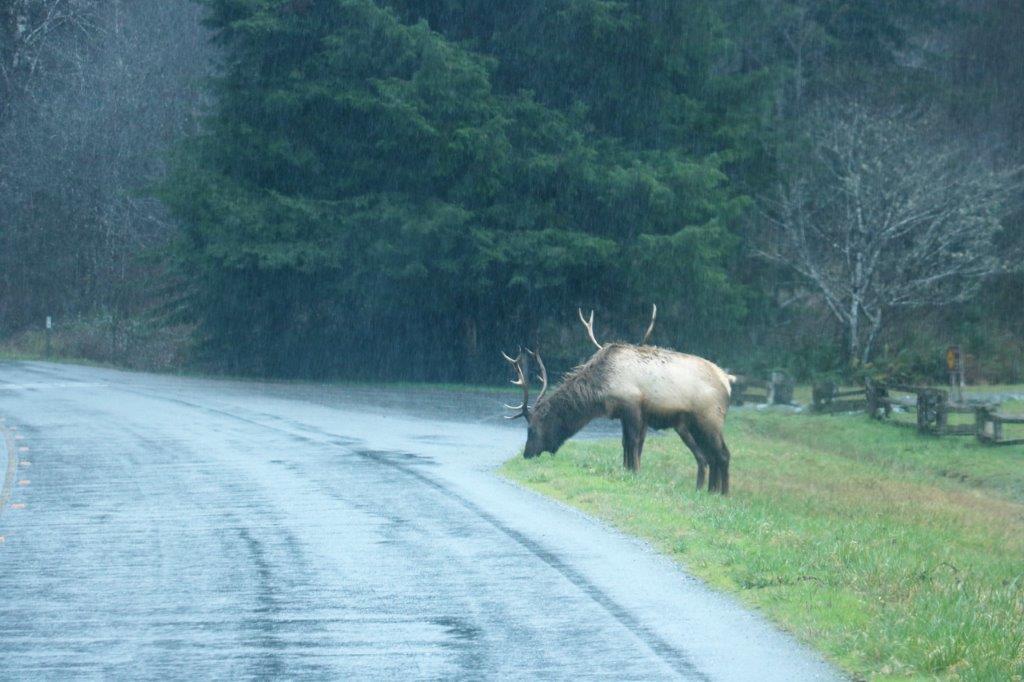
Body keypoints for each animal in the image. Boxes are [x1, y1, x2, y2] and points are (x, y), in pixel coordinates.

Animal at [503, 305, 735, 494]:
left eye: (532, 429)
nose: (526, 454)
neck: (601, 389)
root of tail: (727, 381)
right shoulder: (623, 414)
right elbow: (625, 444)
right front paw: (626, 470)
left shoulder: (633, 407)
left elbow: (633, 443)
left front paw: (635, 473)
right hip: (693, 424)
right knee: (711, 456)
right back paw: (711, 491)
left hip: (709, 419)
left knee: (723, 454)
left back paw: (723, 494)